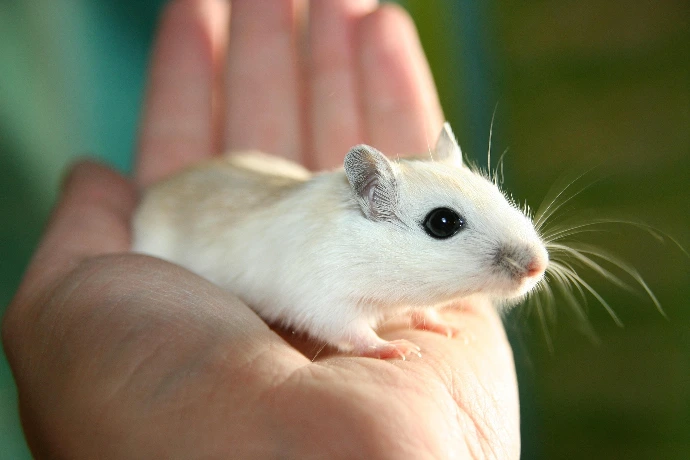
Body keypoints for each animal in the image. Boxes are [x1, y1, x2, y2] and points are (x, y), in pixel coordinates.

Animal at [133, 123, 548, 359]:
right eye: (442, 222)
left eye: (497, 193)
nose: (539, 266)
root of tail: (152, 193)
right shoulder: (326, 301)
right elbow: (355, 332)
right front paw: (397, 349)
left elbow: (422, 310)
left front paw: (448, 327)